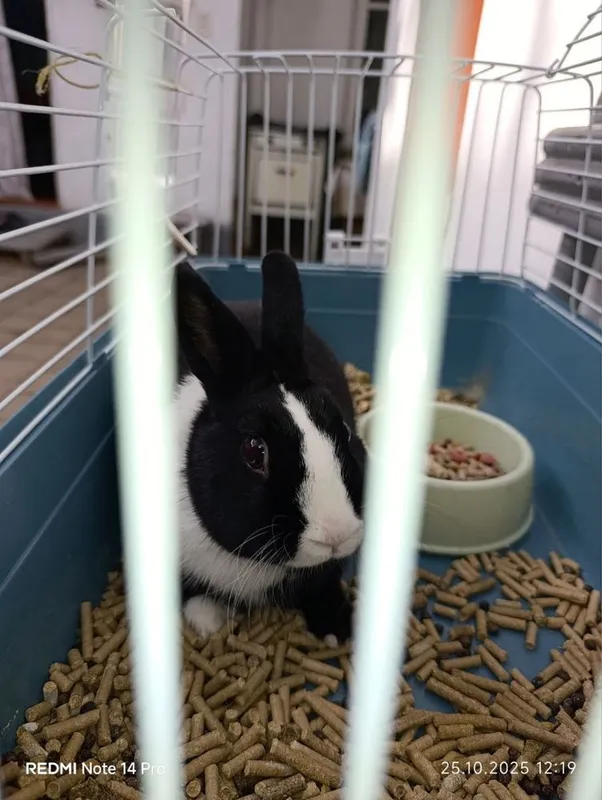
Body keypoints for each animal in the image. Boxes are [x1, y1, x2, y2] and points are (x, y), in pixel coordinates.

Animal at [174, 250, 366, 643]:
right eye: (254, 451)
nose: (337, 534)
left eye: (344, 429)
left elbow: (324, 587)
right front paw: (208, 622)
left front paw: (335, 631)